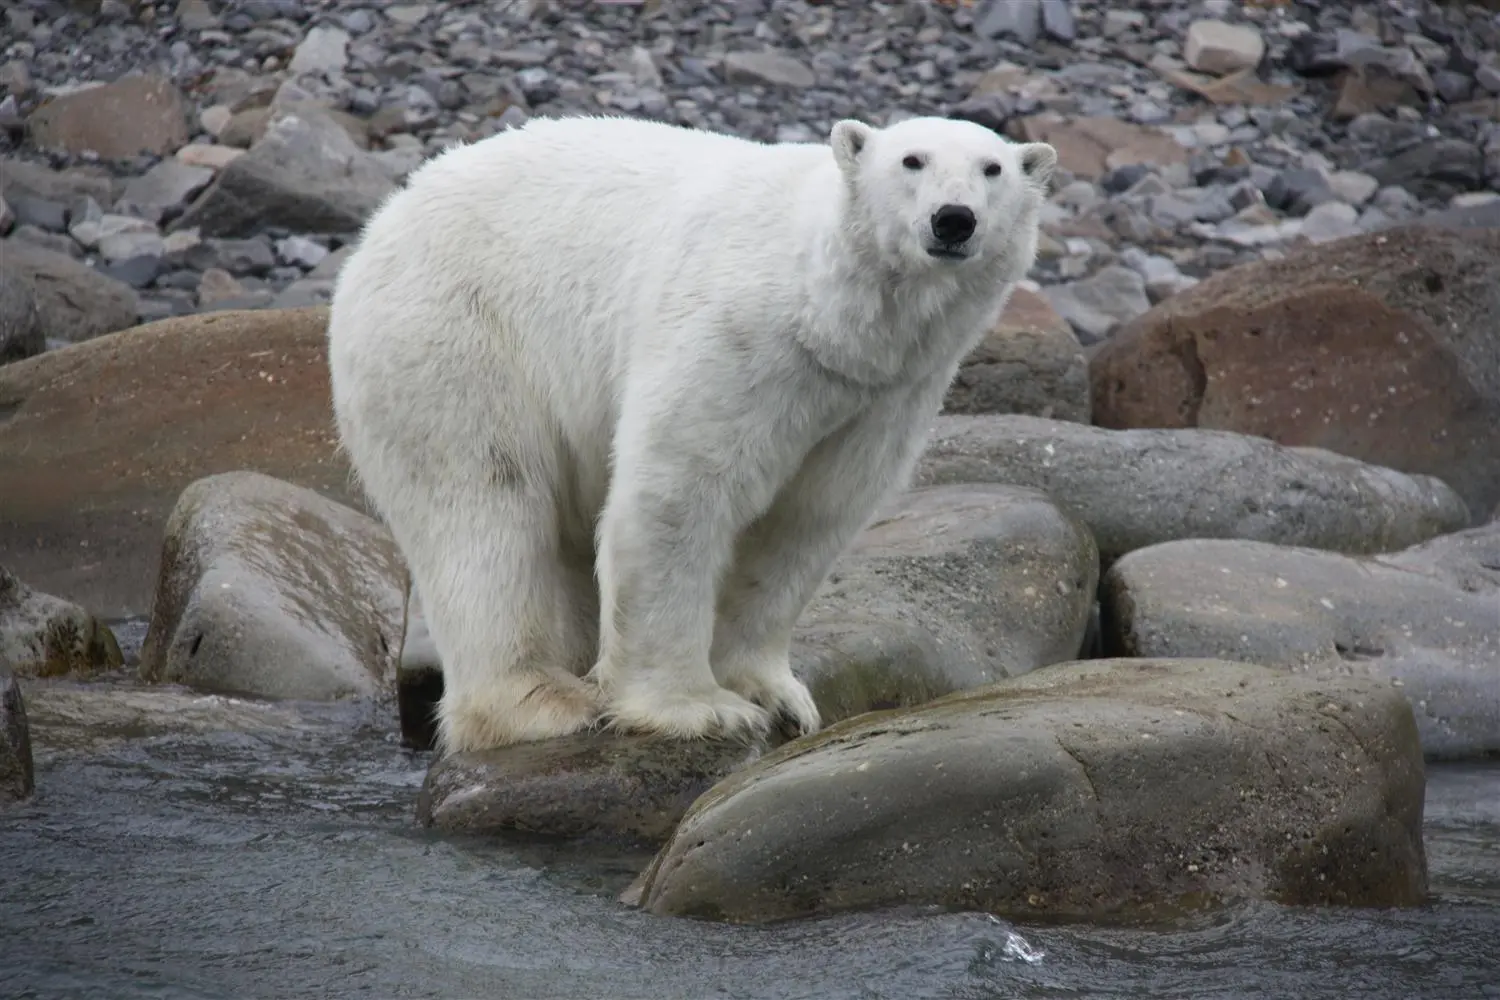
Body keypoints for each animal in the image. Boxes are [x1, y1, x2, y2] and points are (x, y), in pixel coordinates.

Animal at [328, 113, 1056, 755]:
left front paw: (775, 694)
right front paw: (698, 709)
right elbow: (679, 491)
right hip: (455, 338)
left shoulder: (885, 395)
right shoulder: (740, 336)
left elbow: (806, 520)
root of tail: (383, 219)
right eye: (912, 160)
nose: (954, 219)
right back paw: (541, 699)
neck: (830, 314)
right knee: (485, 504)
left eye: (992, 168)